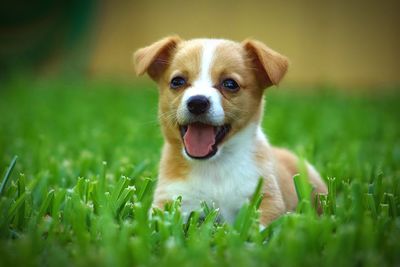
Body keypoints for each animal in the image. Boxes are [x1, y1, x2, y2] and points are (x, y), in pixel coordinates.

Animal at [134, 36, 328, 226]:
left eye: (230, 84)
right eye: (177, 81)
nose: (197, 102)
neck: (214, 167)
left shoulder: (266, 199)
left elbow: (259, 228)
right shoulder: (171, 200)